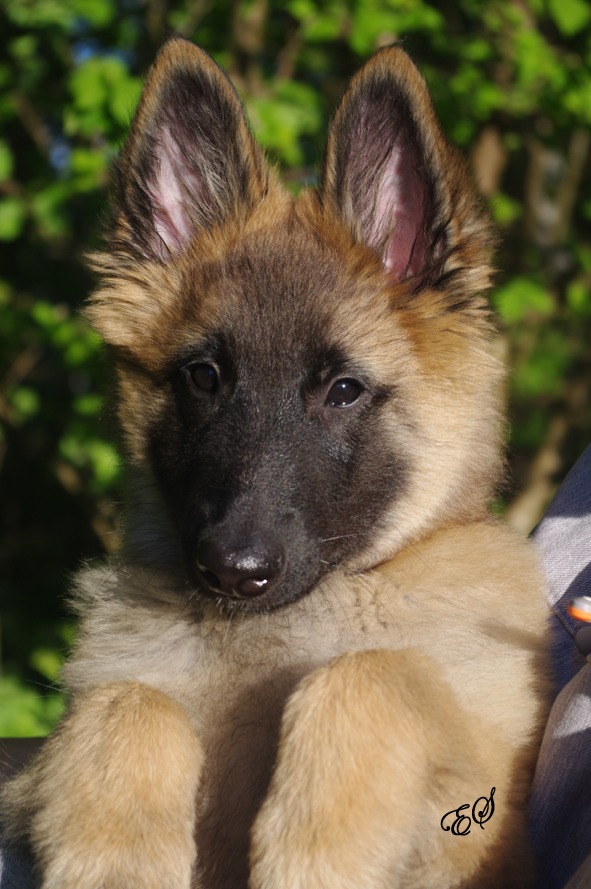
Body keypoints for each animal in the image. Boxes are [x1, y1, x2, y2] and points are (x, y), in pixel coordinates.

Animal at [2, 38, 551, 889]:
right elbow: (125, 698)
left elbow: (365, 674)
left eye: (343, 390)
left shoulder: (494, 832)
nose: (233, 570)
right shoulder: (49, 757)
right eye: (203, 376)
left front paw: (311, 854)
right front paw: (119, 860)